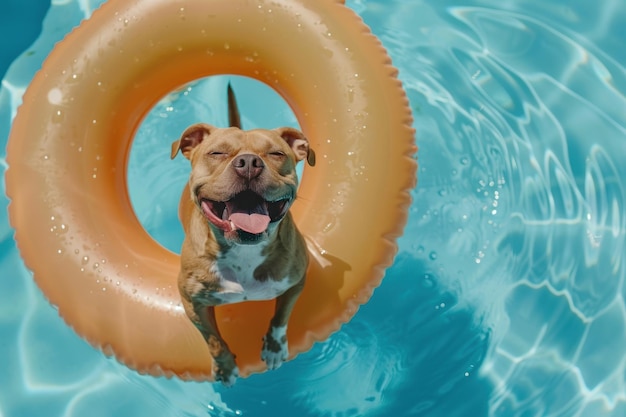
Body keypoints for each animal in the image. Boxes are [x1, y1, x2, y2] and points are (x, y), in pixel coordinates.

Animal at [169, 83, 312, 384]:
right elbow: (212, 339)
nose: (248, 162)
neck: (244, 252)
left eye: (276, 154)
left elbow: (281, 315)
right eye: (217, 154)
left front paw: (274, 348)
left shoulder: (296, 282)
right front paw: (224, 366)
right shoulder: (192, 302)